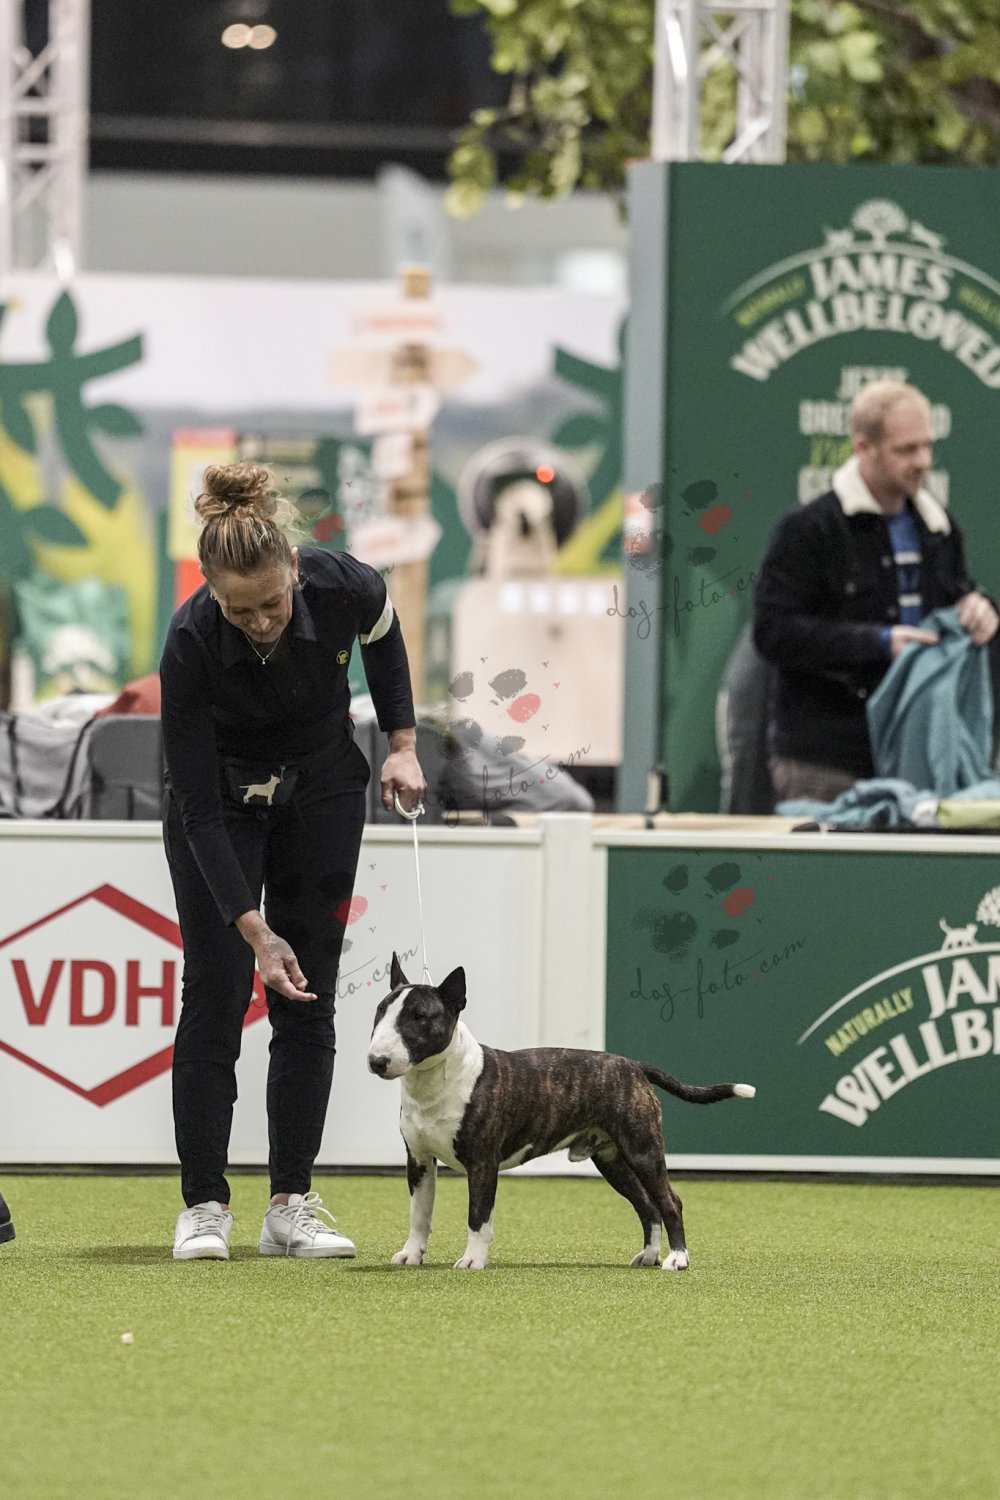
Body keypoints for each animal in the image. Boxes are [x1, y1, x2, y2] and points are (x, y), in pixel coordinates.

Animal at [367, 955, 755, 1271]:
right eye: (380, 1012)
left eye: (419, 1016)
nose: (376, 1062)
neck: (437, 1081)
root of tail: (633, 1065)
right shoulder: (419, 1160)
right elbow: (419, 1215)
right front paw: (410, 1255)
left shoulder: (482, 1162)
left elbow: (478, 1216)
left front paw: (473, 1260)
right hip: (612, 1159)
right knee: (647, 1206)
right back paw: (648, 1256)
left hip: (643, 1149)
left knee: (670, 1201)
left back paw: (677, 1259)